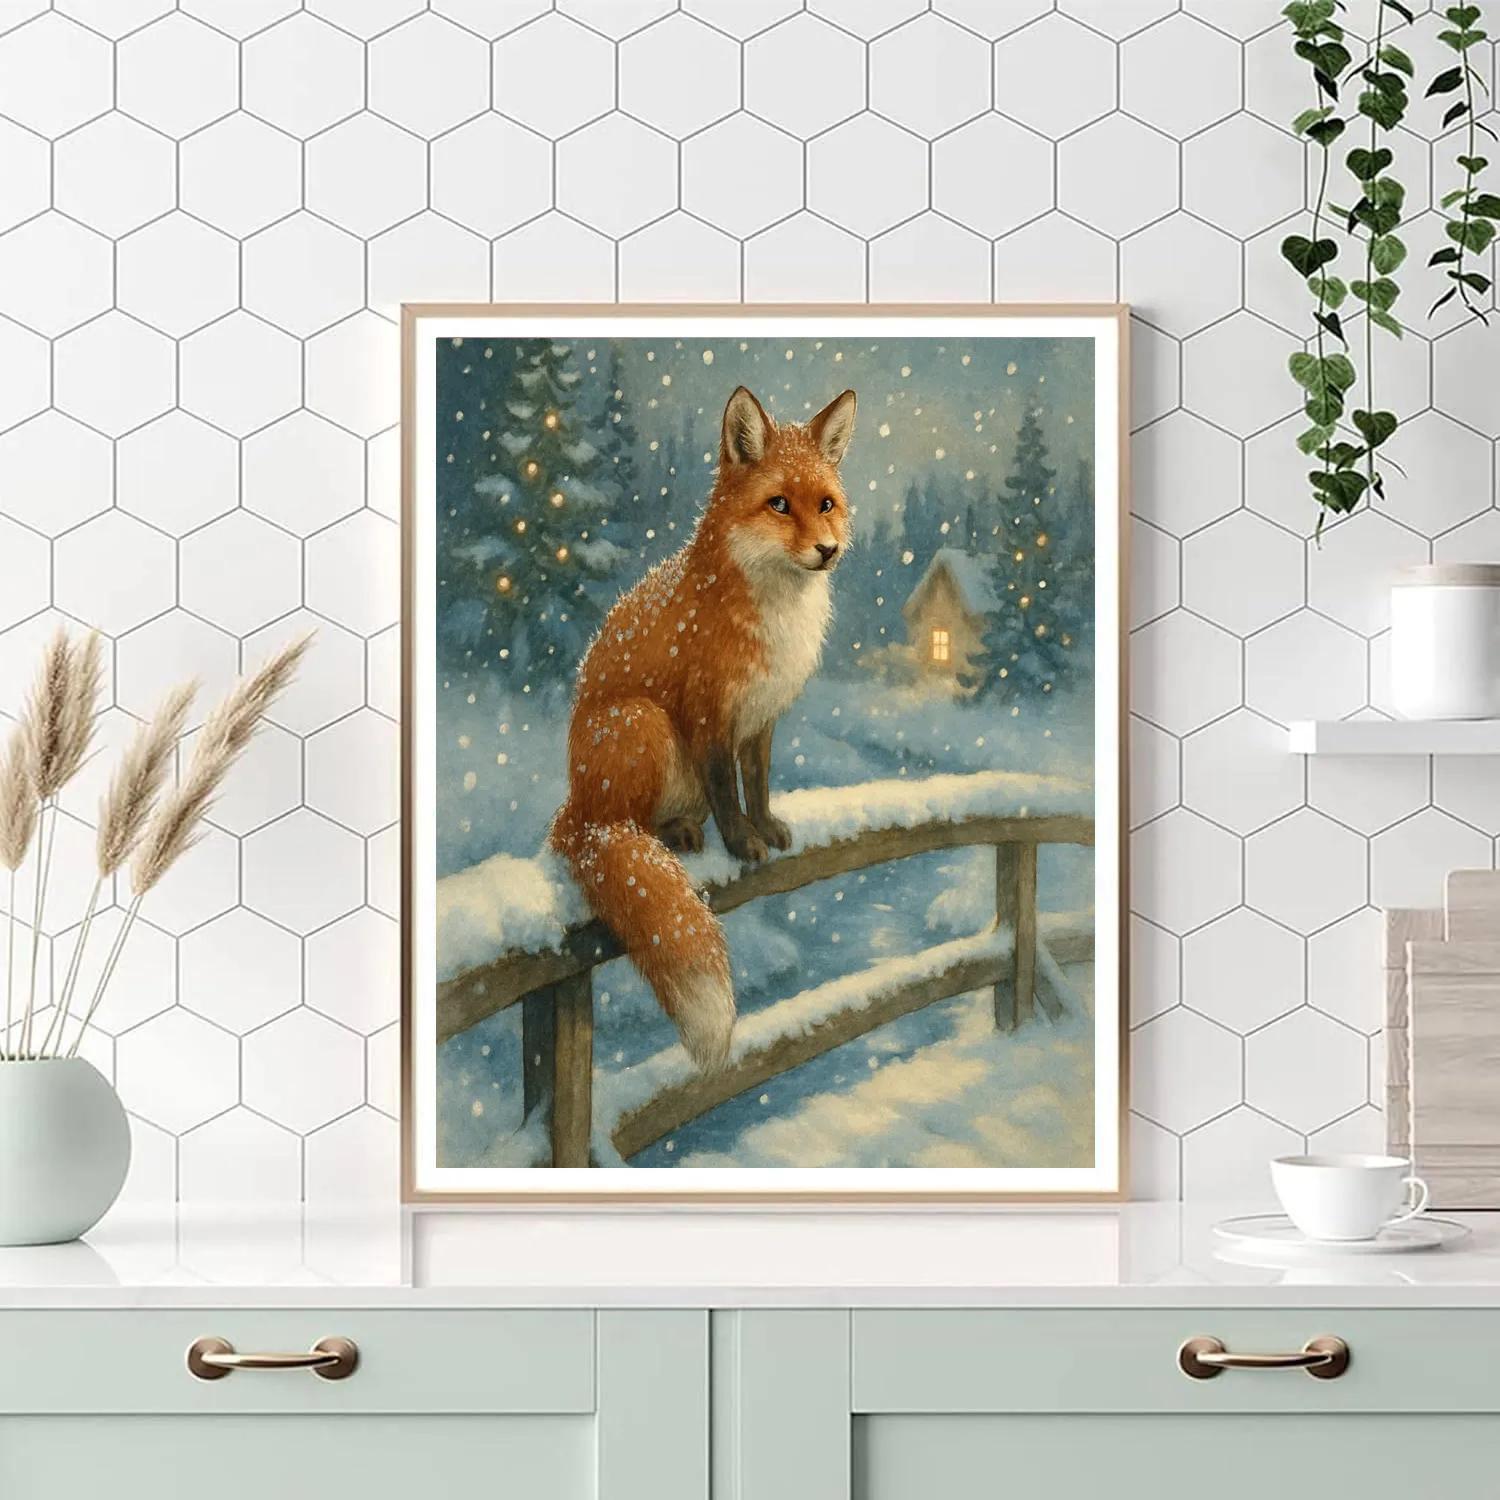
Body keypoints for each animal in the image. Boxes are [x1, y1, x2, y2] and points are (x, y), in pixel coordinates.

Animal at [548, 384, 857, 1072]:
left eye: (826, 504)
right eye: (779, 504)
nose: (827, 551)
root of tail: (573, 810)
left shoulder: (761, 717)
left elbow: (757, 782)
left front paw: (766, 827)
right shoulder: (707, 713)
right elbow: (725, 788)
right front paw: (741, 843)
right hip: (643, 724)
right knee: (622, 829)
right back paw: (670, 839)